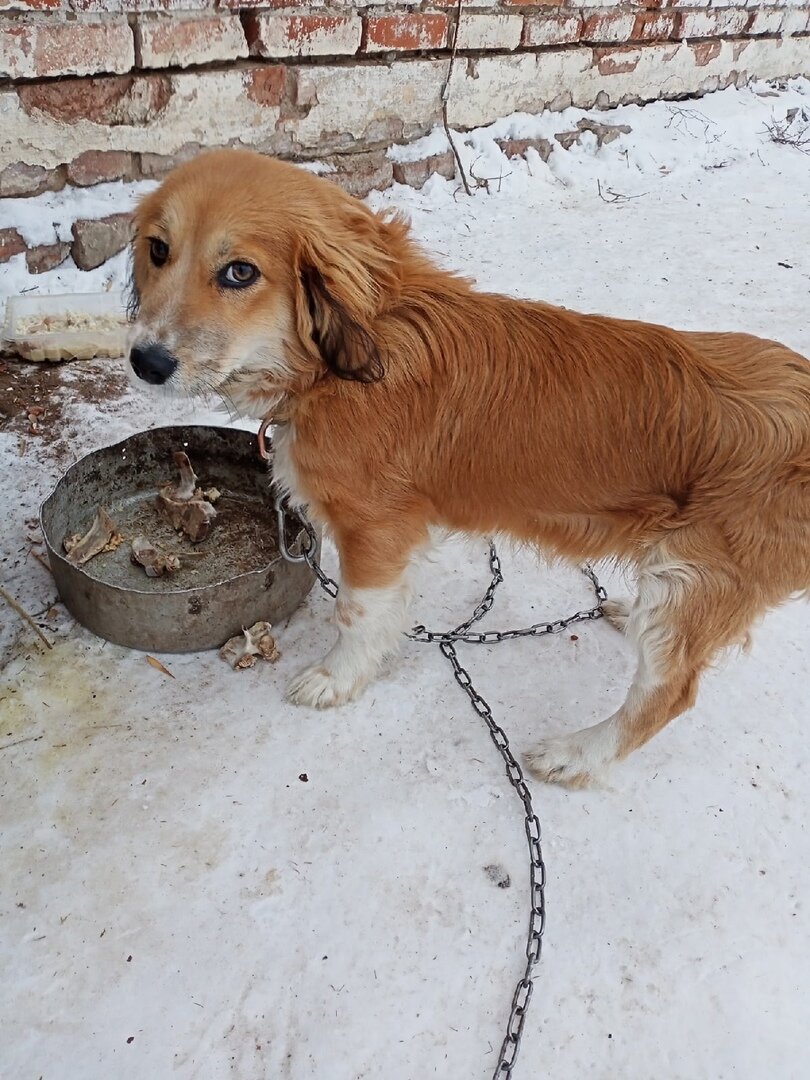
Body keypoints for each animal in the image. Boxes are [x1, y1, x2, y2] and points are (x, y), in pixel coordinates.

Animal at [126, 147, 810, 790]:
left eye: (239, 272)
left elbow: (356, 614)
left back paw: (577, 754)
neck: (342, 364)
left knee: (669, 692)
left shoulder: (375, 529)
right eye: (158, 250)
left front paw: (337, 680)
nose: (145, 363)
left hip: (688, 578)